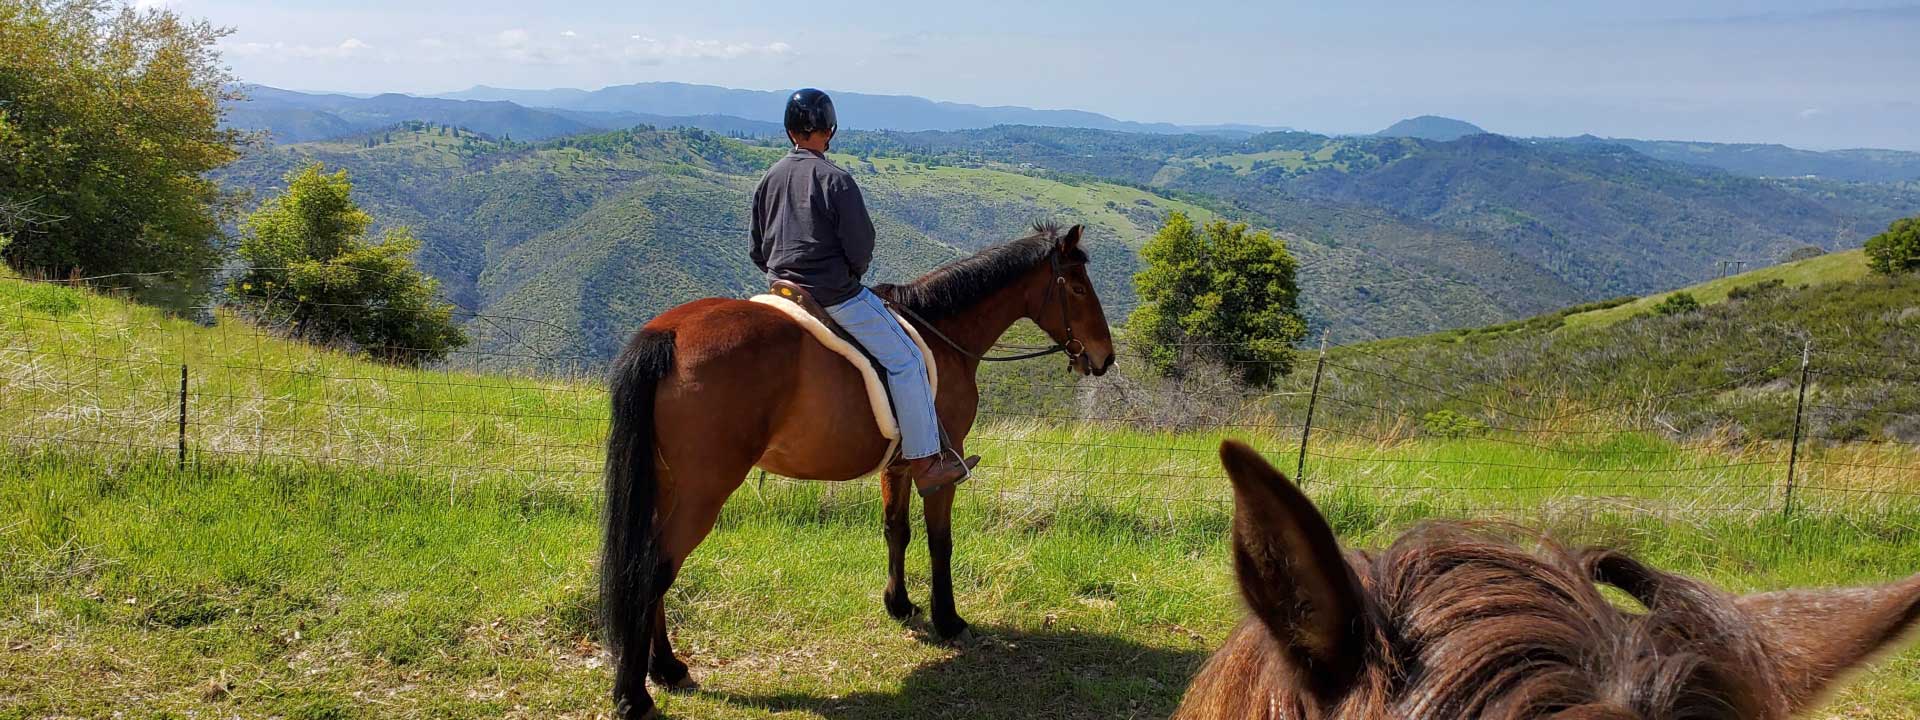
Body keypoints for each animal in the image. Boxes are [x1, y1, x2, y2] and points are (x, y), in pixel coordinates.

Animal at [600, 222, 1116, 718]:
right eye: (1076, 286)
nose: (1104, 356)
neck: (943, 333)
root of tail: (669, 333)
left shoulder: (902, 465)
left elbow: (896, 530)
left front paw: (900, 605)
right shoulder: (943, 465)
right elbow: (940, 541)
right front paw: (948, 620)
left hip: (668, 484)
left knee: (648, 564)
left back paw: (667, 668)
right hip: (702, 490)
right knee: (654, 569)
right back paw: (634, 695)